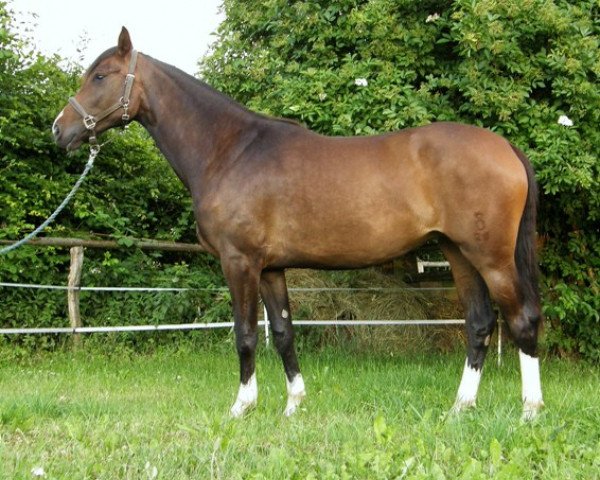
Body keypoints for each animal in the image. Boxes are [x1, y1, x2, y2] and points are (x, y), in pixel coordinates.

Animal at [52, 29, 544, 420]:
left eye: (101, 76)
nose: (60, 129)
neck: (230, 150)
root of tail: (504, 147)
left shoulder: (240, 262)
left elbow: (246, 334)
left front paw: (242, 407)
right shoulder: (271, 268)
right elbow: (284, 333)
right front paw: (293, 405)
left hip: (491, 257)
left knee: (521, 319)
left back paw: (530, 412)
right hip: (457, 253)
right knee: (479, 323)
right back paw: (460, 408)